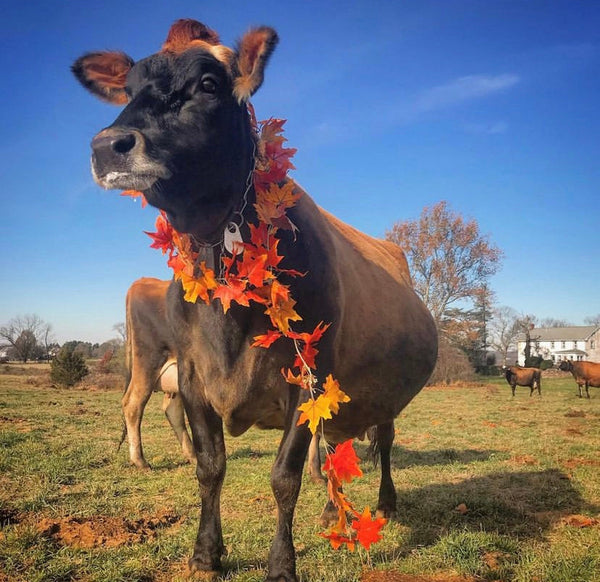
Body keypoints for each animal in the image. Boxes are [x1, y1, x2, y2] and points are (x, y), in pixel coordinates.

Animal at [72, 20, 436, 580]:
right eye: (129, 89)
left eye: (208, 85)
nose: (108, 145)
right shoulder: (194, 378)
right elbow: (209, 469)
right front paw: (206, 553)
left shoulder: (308, 380)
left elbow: (285, 477)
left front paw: (282, 564)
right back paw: (329, 507)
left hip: (375, 391)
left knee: (384, 440)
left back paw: (385, 502)